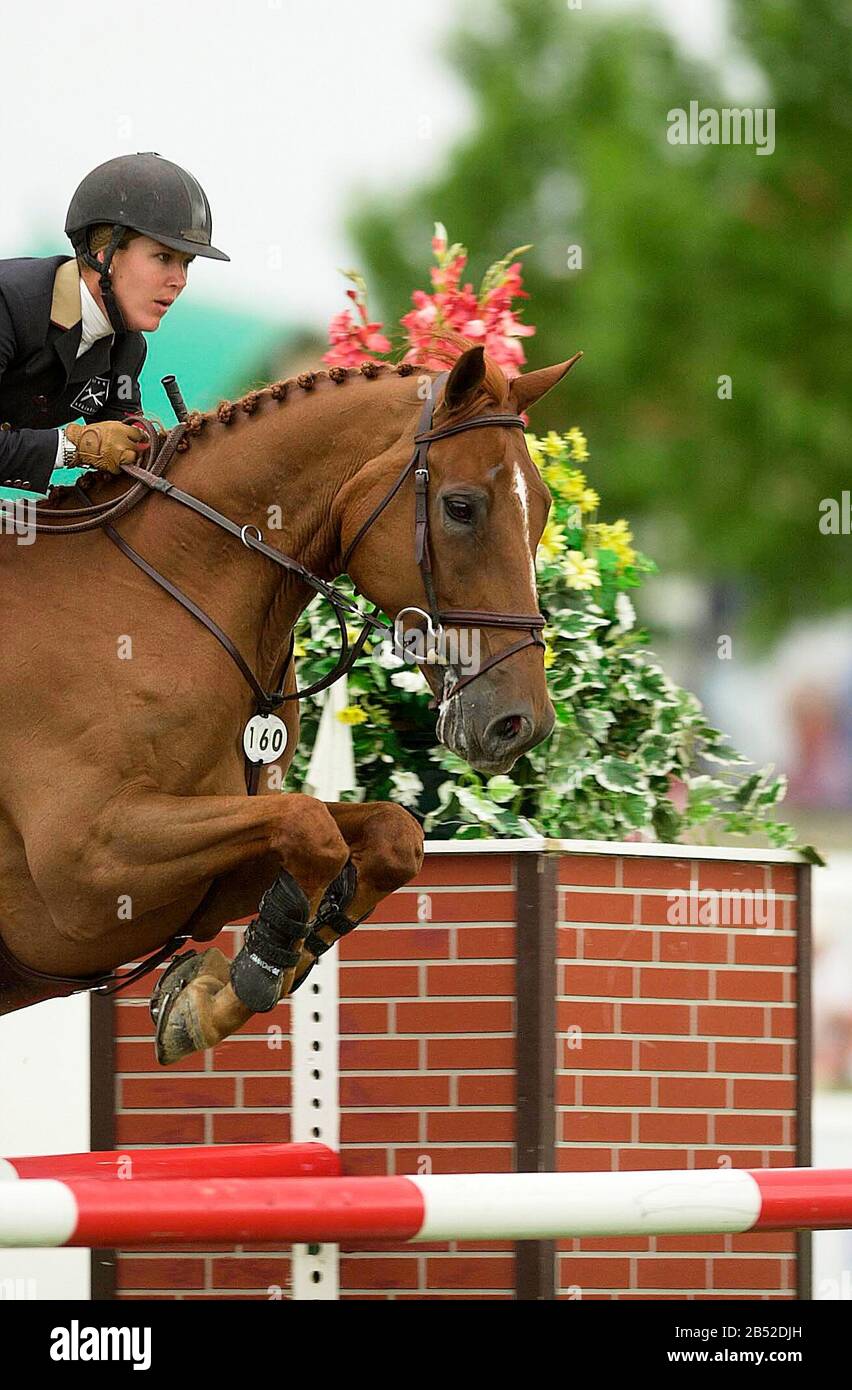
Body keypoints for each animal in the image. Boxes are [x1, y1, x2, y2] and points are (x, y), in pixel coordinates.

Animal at [0, 344, 578, 1061]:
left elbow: (385, 834)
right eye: (461, 507)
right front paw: (248, 971)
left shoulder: (209, 867)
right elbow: (311, 827)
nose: (519, 725)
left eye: (544, 509)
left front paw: (207, 995)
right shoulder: (88, 871)